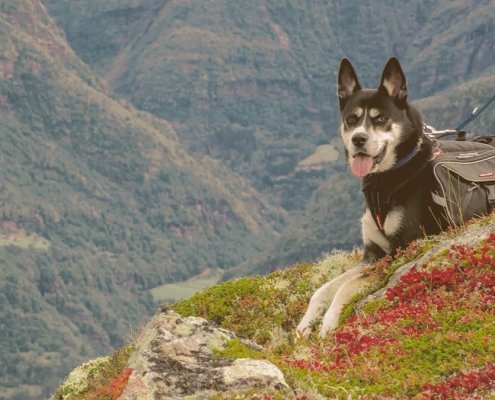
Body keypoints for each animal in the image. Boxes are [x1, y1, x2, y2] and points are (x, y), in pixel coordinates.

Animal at [296, 56, 464, 338]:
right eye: (351, 119)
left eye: (381, 118)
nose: (358, 139)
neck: (386, 182)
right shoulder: (372, 255)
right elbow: (324, 288)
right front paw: (305, 324)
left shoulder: (401, 250)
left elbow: (346, 287)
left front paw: (329, 321)